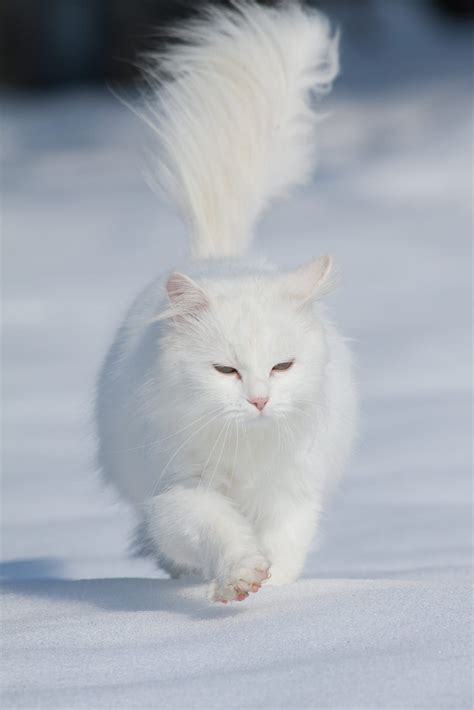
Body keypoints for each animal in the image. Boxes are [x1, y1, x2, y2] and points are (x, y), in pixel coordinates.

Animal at [96, 1, 356, 608]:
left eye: (282, 366)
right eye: (225, 370)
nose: (259, 400)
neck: (246, 449)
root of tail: (220, 253)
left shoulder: (293, 491)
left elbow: (286, 544)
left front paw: (275, 591)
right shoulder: (177, 492)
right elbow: (214, 528)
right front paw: (239, 576)